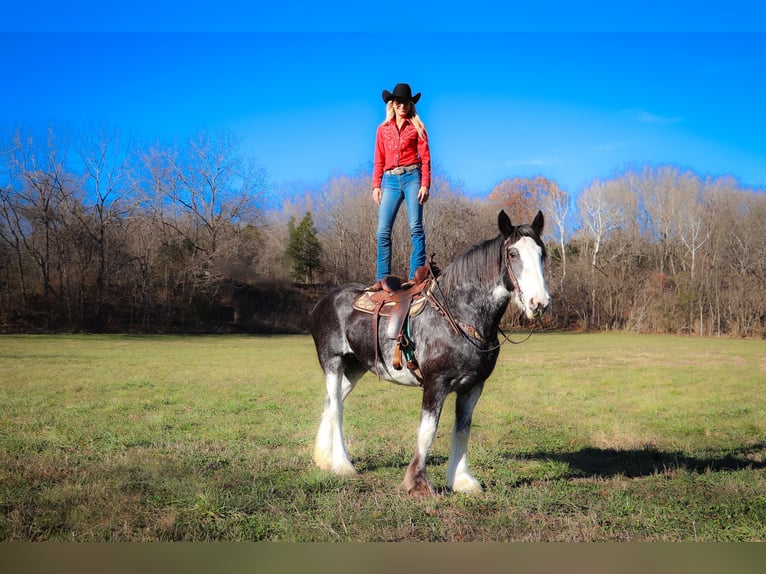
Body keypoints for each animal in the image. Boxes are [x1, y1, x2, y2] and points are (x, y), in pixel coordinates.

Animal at [308, 210, 548, 496]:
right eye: (513, 254)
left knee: (331, 403)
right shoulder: (436, 383)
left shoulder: (473, 387)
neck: (459, 314)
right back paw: (343, 464)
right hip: (332, 361)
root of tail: (324, 300)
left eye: (542, 253)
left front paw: (462, 480)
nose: (539, 303)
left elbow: (462, 430)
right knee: (336, 409)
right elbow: (428, 430)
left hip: (355, 367)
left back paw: (325, 458)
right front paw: (418, 484)